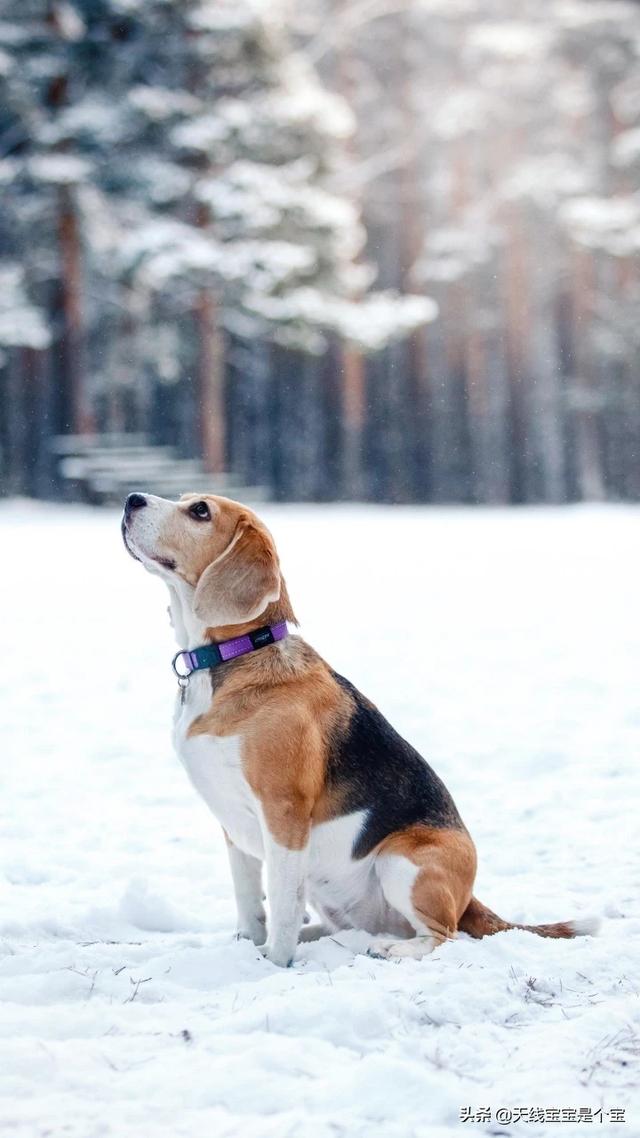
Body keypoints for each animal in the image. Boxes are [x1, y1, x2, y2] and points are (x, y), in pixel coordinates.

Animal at [121, 493, 596, 965]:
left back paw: (390, 947)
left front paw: (273, 963)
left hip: (399, 860)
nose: (132, 499)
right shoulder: (232, 824)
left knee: (444, 935)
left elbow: (281, 900)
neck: (233, 656)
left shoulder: (283, 811)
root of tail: (469, 898)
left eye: (199, 511)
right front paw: (246, 947)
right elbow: (249, 899)